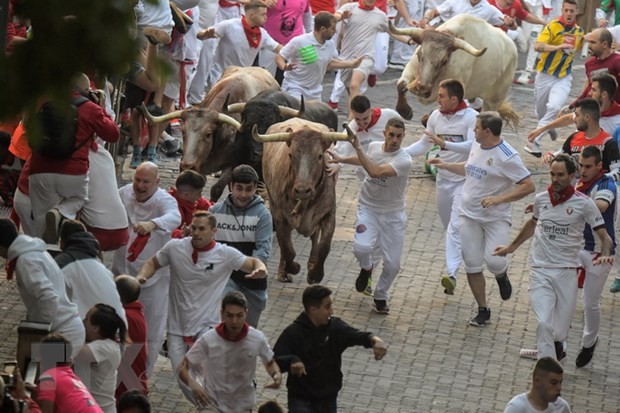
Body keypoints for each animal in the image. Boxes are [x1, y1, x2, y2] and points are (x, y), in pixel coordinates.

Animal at [140, 65, 278, 201]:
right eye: (183, 131)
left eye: (208, 134)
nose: (186, 165)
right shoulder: (199, 166)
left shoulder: (232, 165)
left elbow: (217, 189)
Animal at [252, 117, 348, 282]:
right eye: (291, 155)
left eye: (320, 155)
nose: (302, 189)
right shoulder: (278, 215)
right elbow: (287, 247)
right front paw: (293, 267)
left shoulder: (329, 213)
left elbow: (324, 246)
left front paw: (315, 274)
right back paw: (283, 271)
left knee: (314, 236)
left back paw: (311, 263)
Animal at [392, 14, 520, 127]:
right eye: (419, 54)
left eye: (444, 60)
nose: (421, 89)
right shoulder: (410, 69)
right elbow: (400, 84)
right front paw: (405, 111)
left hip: (495, 98)